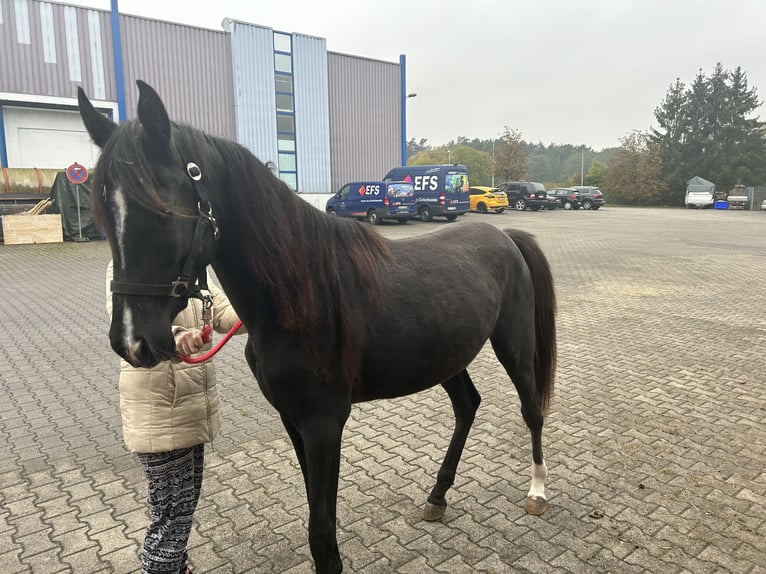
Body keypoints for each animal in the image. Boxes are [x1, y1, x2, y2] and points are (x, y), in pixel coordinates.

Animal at [79, 82, 560, 574]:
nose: (131, 341)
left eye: (162, 211)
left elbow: (322, 535)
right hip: (445, 357)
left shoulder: (324, 423)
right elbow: (316, 515)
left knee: (532, 410)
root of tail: (506, 238)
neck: (299, 296)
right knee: (467, 406)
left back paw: (537, 491)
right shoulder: (294, 421)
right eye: (104, 214)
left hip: (514, 346)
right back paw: (438, 496)